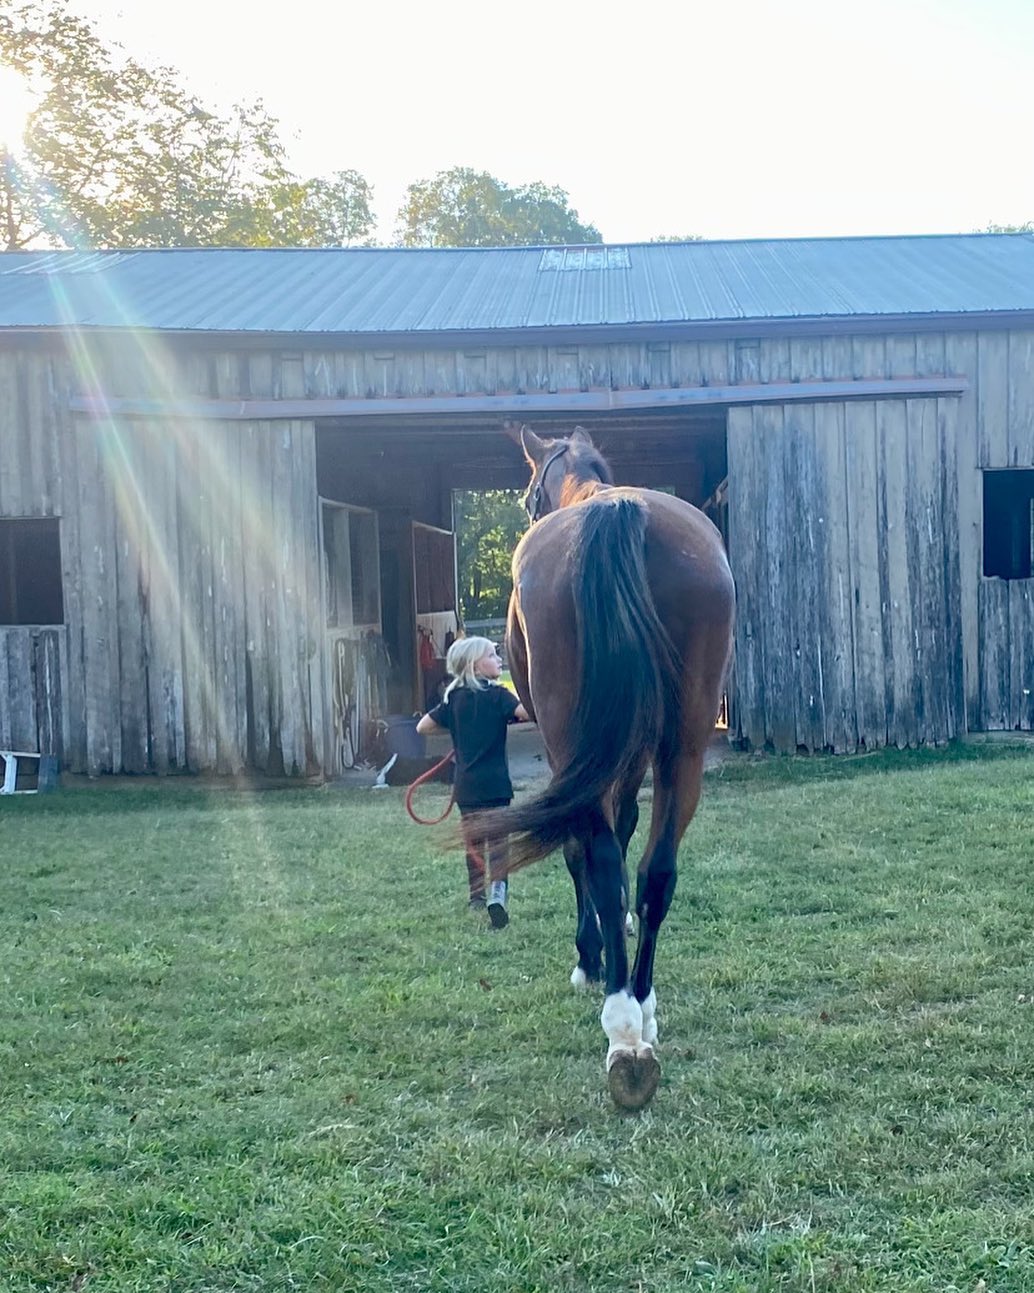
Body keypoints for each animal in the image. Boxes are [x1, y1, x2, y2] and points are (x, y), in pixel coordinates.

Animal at [473, 424, 735, 1110]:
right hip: (682, 747)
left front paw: (589, 957)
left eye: (528, 494)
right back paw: (640, 1013)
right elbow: (628, 833)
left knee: (596, 855)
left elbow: (585, 854)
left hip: (575, 742)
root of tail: (619, 513)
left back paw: (620, 1023)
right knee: (654, 871)